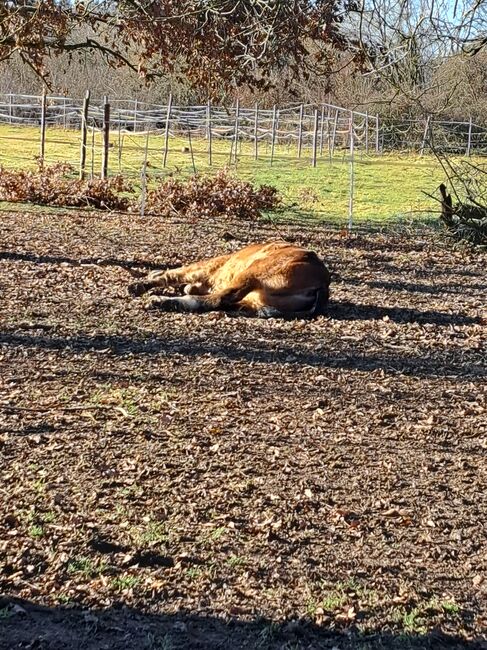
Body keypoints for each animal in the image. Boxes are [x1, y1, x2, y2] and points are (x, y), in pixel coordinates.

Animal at [129, 239, 332, 318]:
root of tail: (323, 283)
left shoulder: (204, 267)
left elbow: (174, 274)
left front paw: (139, 285)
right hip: (255, 298)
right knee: (225, 301)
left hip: (254, 272)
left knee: (219, 298)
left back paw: (161, 301)